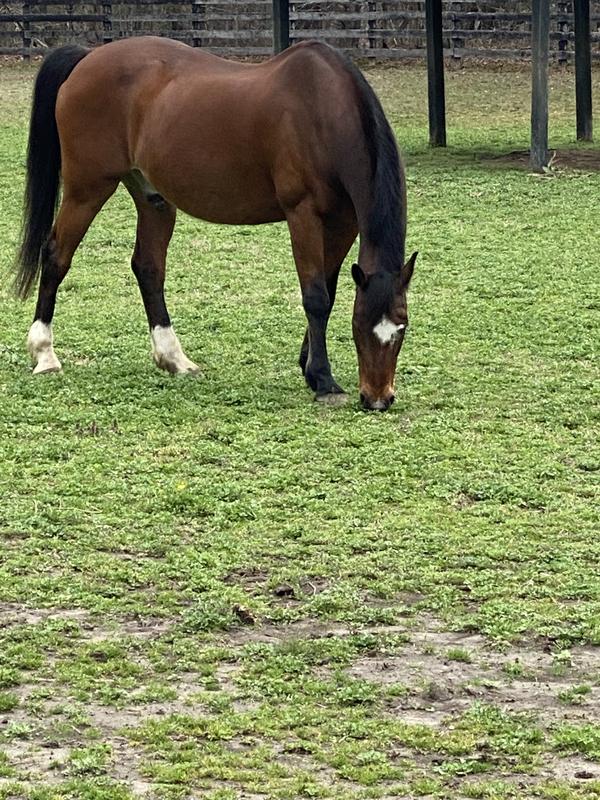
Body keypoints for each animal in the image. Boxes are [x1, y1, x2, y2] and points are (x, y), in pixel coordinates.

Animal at [15, 36, 417, 411]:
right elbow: (315, 296)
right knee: (56, 256)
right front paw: (323, 379)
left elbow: (328, 294)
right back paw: (44, 353)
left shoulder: (343, 223)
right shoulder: (302, 214)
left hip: (152, 198)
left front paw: (309, 366)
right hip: (87, 189)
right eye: (359, 327)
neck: (323, 112)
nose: (378, 399)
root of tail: (88, 57)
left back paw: (174, 359)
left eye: (402, 328)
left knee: (148, 269)